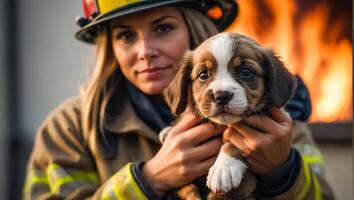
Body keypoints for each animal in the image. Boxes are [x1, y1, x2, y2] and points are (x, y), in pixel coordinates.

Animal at [162, 32, 298, 199]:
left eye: (246, 72)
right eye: (203, 75)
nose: (221, 96)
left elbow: (234, 142)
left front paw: (223, 168)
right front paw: (168, 130)